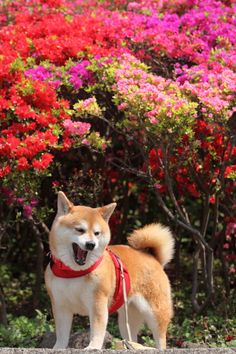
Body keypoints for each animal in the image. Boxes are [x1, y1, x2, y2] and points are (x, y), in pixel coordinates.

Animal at [45, 191, 174, 348]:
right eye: (80, 230)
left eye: (97, 233)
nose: (91, 244)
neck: (74, 272)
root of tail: (153, 258)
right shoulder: (60, 306)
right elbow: (62, 335)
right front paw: (58, 348)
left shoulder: (98, 304)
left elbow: (97, 330)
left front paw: (93, 347)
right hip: (127, 319)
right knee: (131, 338)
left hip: (155, 313)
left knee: (160, 338)